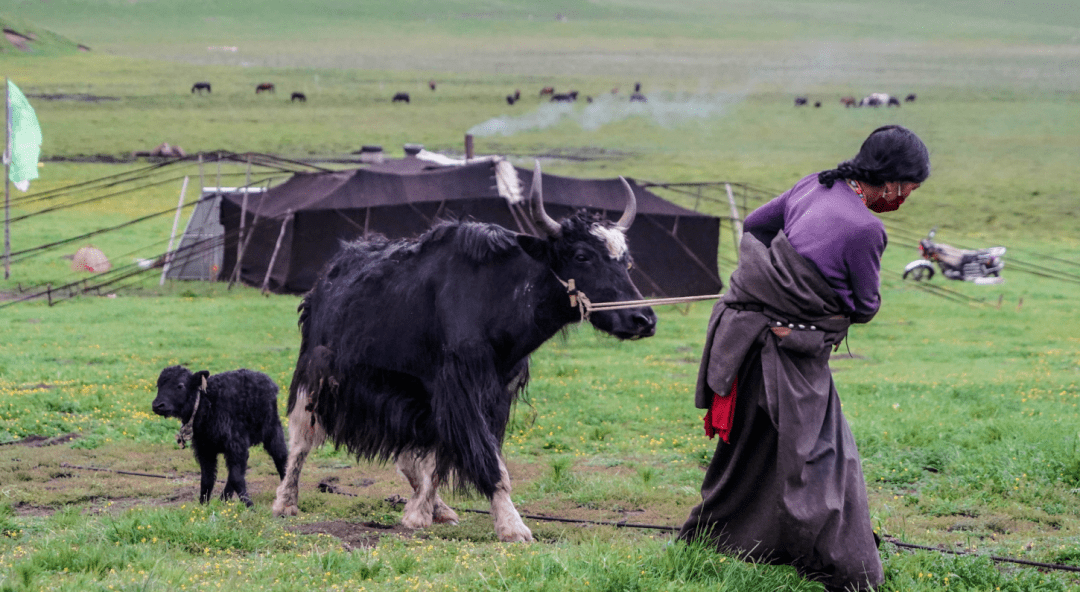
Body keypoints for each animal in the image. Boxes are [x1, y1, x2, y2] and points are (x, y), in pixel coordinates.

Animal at [153, 365, 287, 503]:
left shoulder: (235, 445)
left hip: (272, 429)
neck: (207, 404)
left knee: (281, 456)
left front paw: (249, 504)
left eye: (180, 385)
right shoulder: (204, 449)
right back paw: (224, 498)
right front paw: (203, 504)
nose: (157, 405)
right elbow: (207, 479)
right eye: (158, 385)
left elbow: (236, 478)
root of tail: (266, 379)